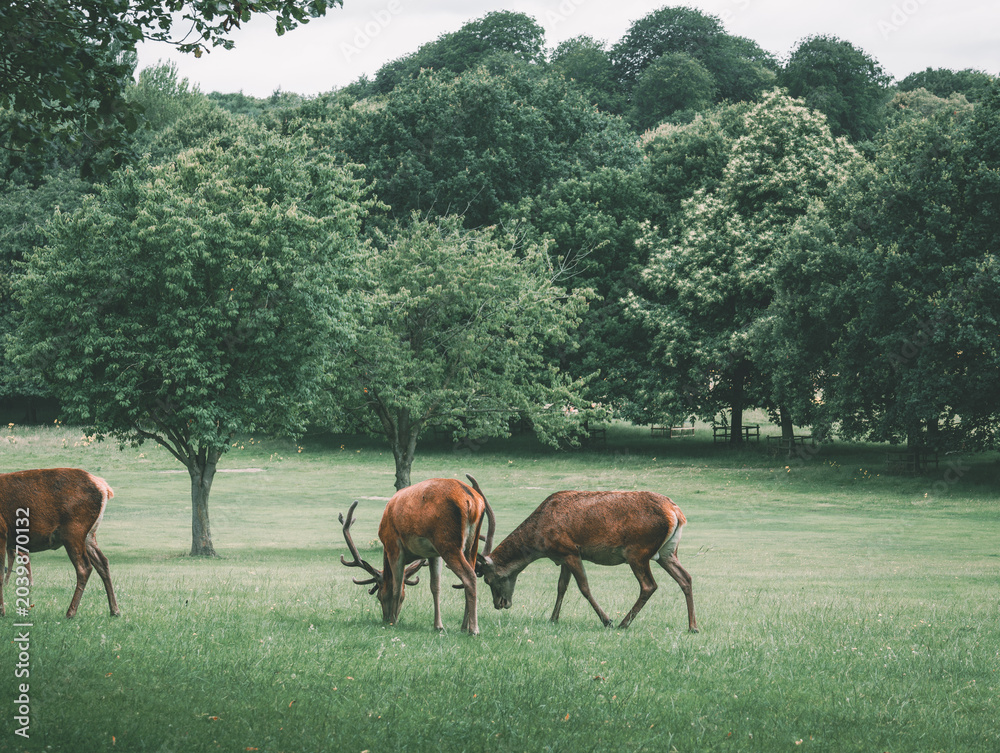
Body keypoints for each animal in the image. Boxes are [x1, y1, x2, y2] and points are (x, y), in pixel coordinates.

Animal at [0, 468, 121, 619]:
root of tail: (104, 487)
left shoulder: (2, 532)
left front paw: (2, 612)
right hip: (89, 535)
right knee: (103, 562)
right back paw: (115, 610)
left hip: (74, 530)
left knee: (84, 567)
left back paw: (70, 612)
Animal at [340, 474, 496, 634]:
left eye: (379, 596)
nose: (385, 618)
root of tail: (472, 500)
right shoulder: (434, 554)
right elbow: (435, 586)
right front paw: (438, 625)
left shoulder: (393, 546)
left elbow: (397, 587)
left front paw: (394, 622)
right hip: (471, 544)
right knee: (469, 573)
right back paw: (464, 626)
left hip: (448, 542)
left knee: (469, 576)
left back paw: (474, 629)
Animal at [477, 490, 698, 632]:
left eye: (488, 580)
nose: (499, 604)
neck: (539, 539)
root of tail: (676, 513)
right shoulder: (563, 556)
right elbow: (561, 586)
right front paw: (553, 618)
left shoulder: (570, 550)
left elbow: (583, 587)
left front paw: (607, 620)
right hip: (668, 552)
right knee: (685, 578)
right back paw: (692, 627)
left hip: (638, 551)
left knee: (649, 585)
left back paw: (623, 624)